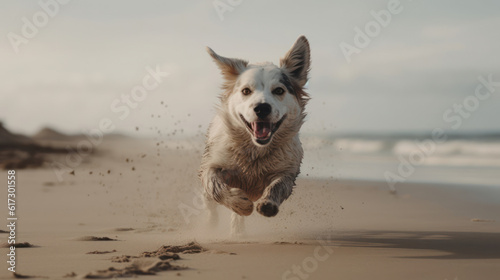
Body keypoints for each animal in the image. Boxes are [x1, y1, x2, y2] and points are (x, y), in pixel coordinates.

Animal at [200, 35, 310, 236]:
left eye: (279, 90)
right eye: (246, 91)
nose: (262, 108)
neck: (255, 149)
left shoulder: (288, 169)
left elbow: (279, 184)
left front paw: (268, 203)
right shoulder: (212, 164)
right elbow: (214, 186)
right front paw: (240, 204)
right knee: (209, 203)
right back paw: (212, 224)